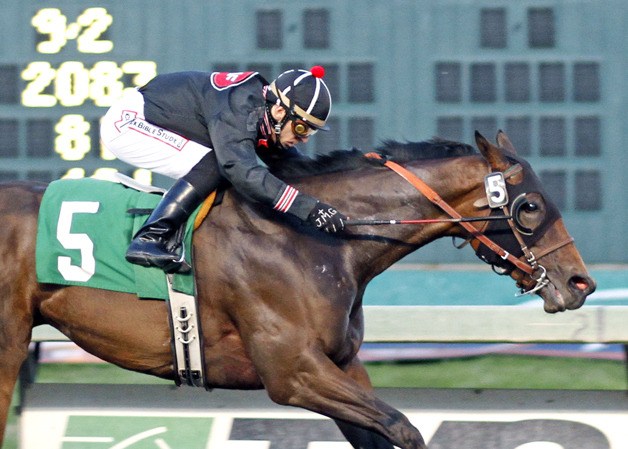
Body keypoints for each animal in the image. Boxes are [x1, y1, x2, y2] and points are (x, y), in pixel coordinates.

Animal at [0, 131, 592, 448]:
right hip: (8, 344)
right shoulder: (292, 372)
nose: (579, 283)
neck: (316, 240)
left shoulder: (341, 365)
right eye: (531, 206)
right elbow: (403, 428)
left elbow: (383, 431)